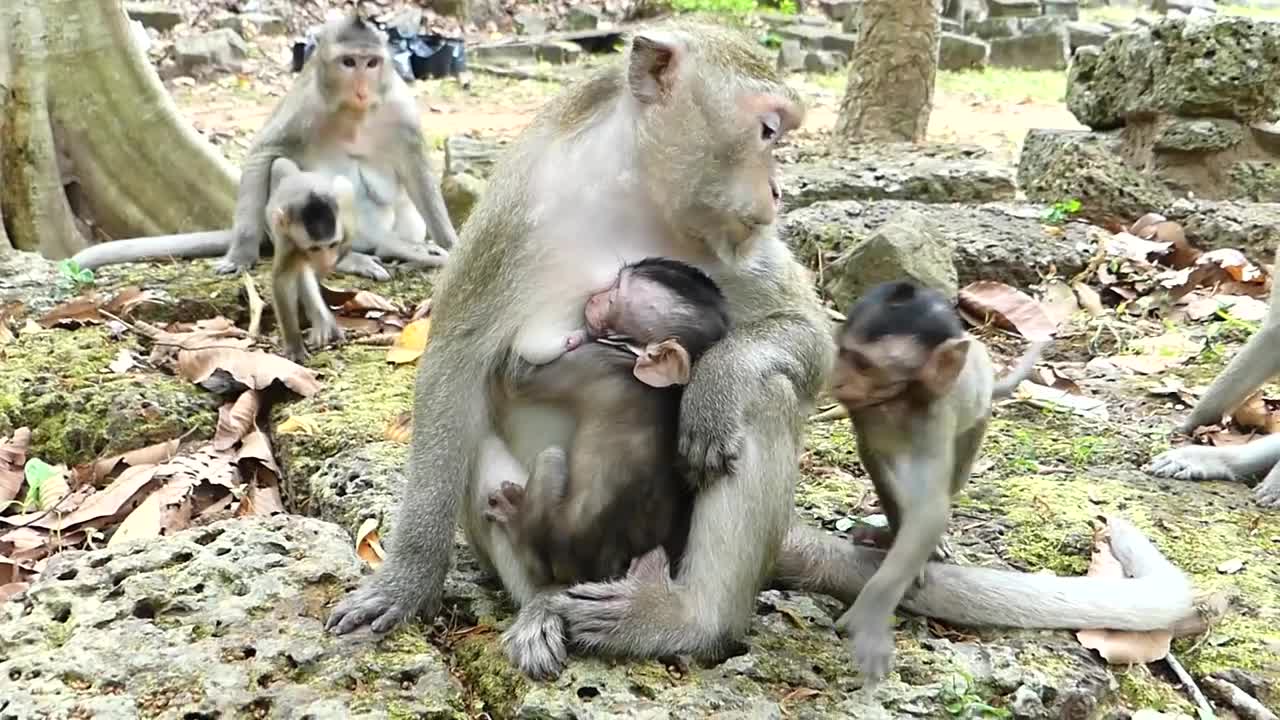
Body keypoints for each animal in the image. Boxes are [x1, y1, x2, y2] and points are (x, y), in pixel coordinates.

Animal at [70, 13, 458, 280]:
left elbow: (417, 173)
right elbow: (264, 154)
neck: (354, 113)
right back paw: (351, 258)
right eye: (349, 62)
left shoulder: (400, 108)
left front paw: (450, 244)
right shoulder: (306, 105)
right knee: (281, 169)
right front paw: (240, 253)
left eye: (372, 62)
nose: (362, 87)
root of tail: (369, 235)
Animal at [481, 254, 727, 597]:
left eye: (613, 298)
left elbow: (514, 378)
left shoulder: (593, 362)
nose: (594, 297)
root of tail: (604, 568)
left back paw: (514, 521)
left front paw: (568, 338)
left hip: (555, 547)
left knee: (550, 460)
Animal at [829, 280, 1049, 681]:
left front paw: (872, 612)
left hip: (978, 419)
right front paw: (893, 533)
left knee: (958, 469)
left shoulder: (932, 419)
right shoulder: (865, 414)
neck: (898, 401)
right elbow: (875, 461)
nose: (835, 378)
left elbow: (929, 512)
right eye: (843, 353)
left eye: (863, 364)